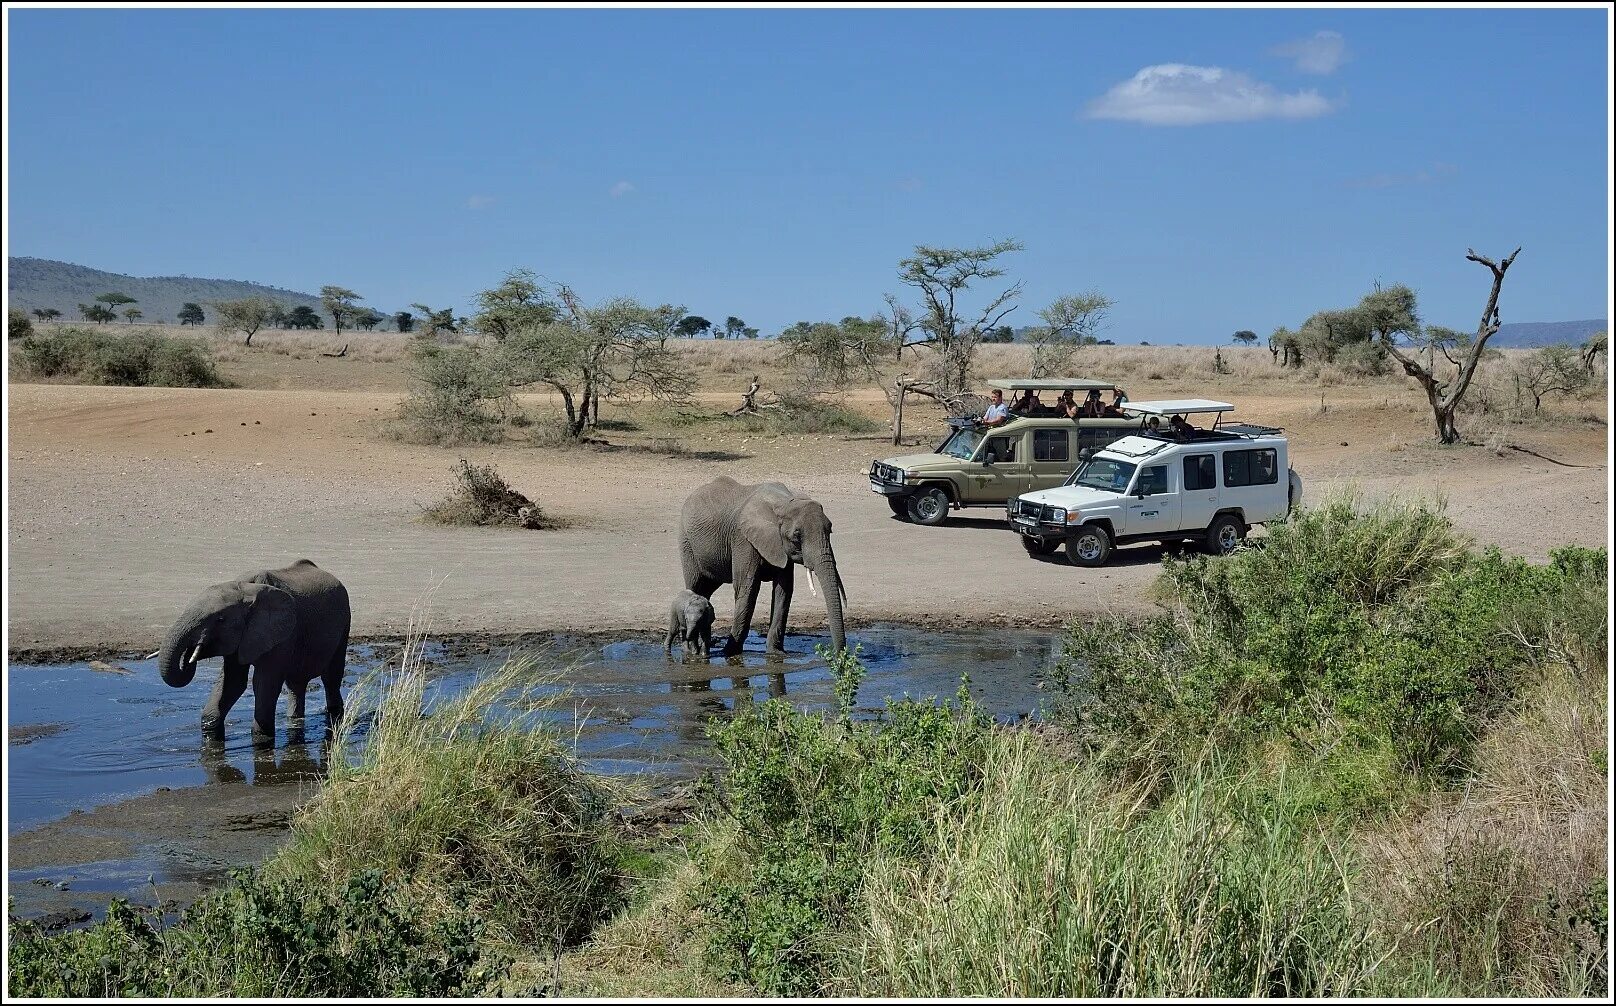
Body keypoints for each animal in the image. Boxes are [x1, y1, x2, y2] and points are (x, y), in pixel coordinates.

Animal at [155, 558, 350, 739]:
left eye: (220, 619)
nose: (191, 651)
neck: (246, 590)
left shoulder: (283, 634)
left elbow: (264, 683)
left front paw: (261, 736)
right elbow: (232, 682)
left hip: (345, 621)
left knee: (331, 677)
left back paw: (335, 714)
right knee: (296, 683)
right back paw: (294, 719)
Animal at [675, 474, 846, 658]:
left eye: (830, 530)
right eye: (796, 536)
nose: (840, 656)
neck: (784, 503)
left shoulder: (779, 546)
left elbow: (783, 591)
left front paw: (776, 654)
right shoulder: (743, 539)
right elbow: (748, 588)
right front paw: (730, 653)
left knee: (706, 589)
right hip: (687, 543)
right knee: (695, 585)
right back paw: (690, 650)